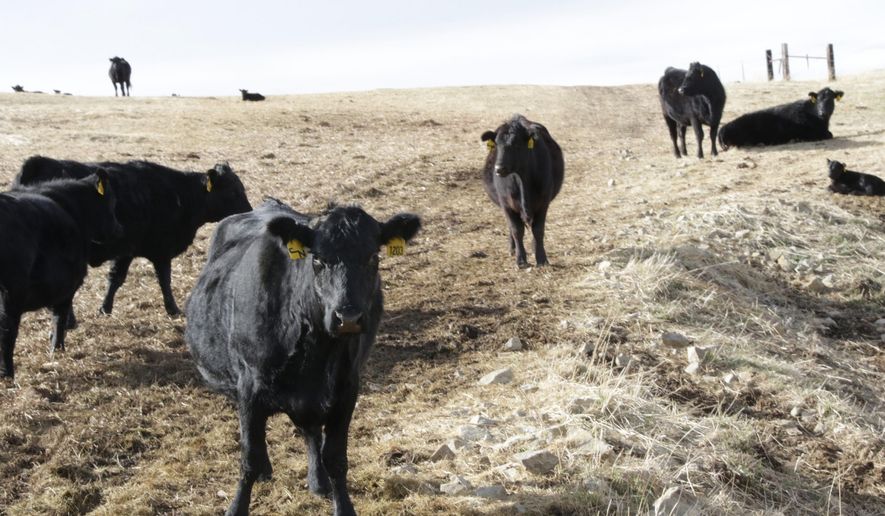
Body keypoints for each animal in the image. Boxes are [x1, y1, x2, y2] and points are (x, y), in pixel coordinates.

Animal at [1, 171, 122, 378]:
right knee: (8, 331)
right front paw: (57, 349)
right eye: (112, 202)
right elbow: (60, 317)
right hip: (11, 296)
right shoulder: (69, 286)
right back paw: (8, 372)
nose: (118, 228)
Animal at [15, 157, 252, 319]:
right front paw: (173, 309)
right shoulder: (153, 250)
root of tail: (38, 162)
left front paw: (106, 308)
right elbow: (156, 279)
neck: (180, 195)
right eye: (233, 192)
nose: (250, 212)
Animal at [185, 199, 421, 516]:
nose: (348, 318)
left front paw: (342, 505)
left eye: (373, 256)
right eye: (318, 259)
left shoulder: (346, 388)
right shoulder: (249, 387)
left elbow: (335, 457)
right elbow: (249, 456)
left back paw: (317, 481)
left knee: (311, 432)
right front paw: (237, 507)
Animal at [480, 114, 564, 268]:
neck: (522, 180)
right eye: (497, 145)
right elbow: (516, 230)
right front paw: (521, 260)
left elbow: (538, 230)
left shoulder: (543, 203)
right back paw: (512, 249)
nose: (499, 169)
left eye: (517, 145)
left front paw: (541, 258)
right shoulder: (506, 204)